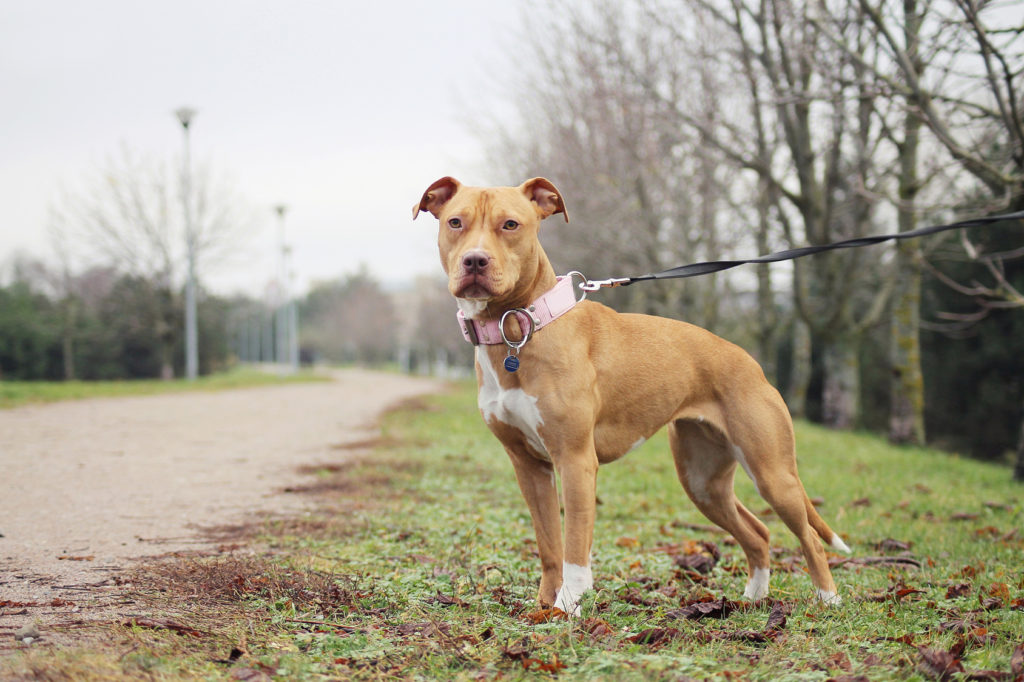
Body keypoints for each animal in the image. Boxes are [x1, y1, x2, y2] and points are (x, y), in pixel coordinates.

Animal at [409, 176, 847, 614]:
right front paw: (543, 608)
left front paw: (568, 608)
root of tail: (751, 362)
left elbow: (574, 549)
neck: (520, 325)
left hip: (772, 473)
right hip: (703, 481)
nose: (475, 261)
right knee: (757, 533)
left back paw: (828, 599)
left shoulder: (575, 461)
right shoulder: (529, 466)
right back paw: (753, 598)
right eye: (455, 222)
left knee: (809, 536)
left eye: (511, 224)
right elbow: (549, 546)